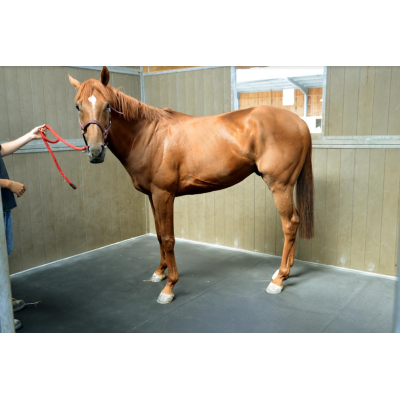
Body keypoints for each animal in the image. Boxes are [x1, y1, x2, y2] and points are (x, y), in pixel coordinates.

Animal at [68, 66, 312, 304]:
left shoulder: (164, 194)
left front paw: (169, 287)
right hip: (286, 186)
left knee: (289, 224)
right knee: (296, 220)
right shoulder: (152, 196)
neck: (148, 136)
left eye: (107, 105)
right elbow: (159, 235)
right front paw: (160, 272)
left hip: (280, 186)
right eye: (78, 106)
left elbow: (168, 239)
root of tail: (300, 123)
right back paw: (284, 272)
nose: (96, 151)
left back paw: (278, 280)